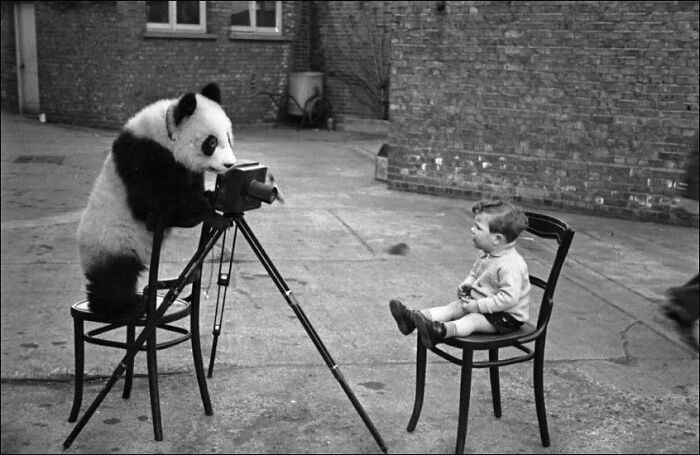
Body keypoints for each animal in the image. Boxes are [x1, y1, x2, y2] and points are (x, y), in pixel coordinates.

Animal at [76, 83, 235, 318]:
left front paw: (208, 196)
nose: (229, 164)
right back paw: (124, 306)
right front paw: (213, 215)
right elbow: (151, 200)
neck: (165, 131)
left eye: (229, 138)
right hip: (111, 239)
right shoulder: (143, 155)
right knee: (115, 277)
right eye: (212, 142)